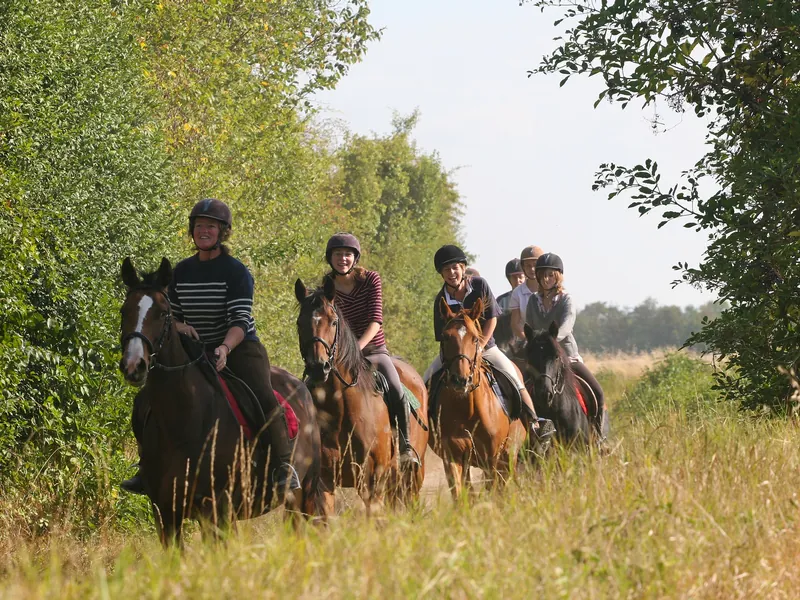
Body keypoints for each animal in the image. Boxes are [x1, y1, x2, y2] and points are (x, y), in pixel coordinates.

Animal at [118, 255, 322, 548]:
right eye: (124, 311)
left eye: (163, 313)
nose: (134, 365)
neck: (183, 419)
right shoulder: (165, 512)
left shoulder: (216, 509)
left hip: (304, 494)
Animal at [296, 276, 432, 516]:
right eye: (299, 324)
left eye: (333, 322)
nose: (318, 368)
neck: (340, 409)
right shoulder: (324, 481)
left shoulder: (371, 479)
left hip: (413, 474)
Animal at [432, 298, 532, 500]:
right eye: (445, 337)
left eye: (475, 338)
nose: (460, 380)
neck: (467, 408)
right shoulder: (452, 457)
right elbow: (460, 494)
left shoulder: (491, 457)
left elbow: (494, 489)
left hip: (509, 454)